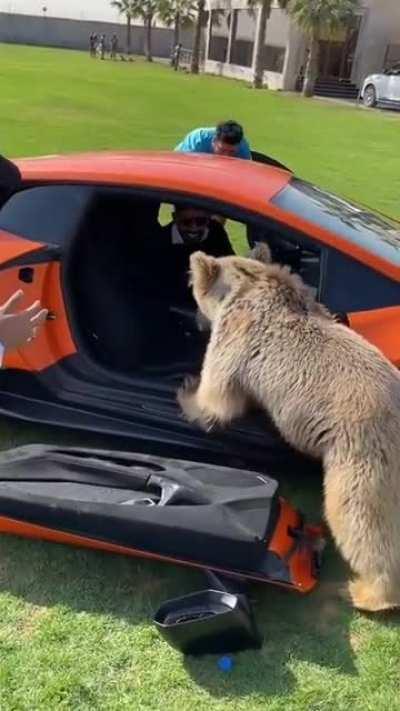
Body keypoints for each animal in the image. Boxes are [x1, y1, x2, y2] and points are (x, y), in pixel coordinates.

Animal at [177, 245, 400, 612]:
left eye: (195, 296)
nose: (195, 321)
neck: (247, 287)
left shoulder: (236, 339)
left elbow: (219, 395)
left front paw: (188, 393)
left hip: (361, 459)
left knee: (358, 518)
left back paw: (365, 592)